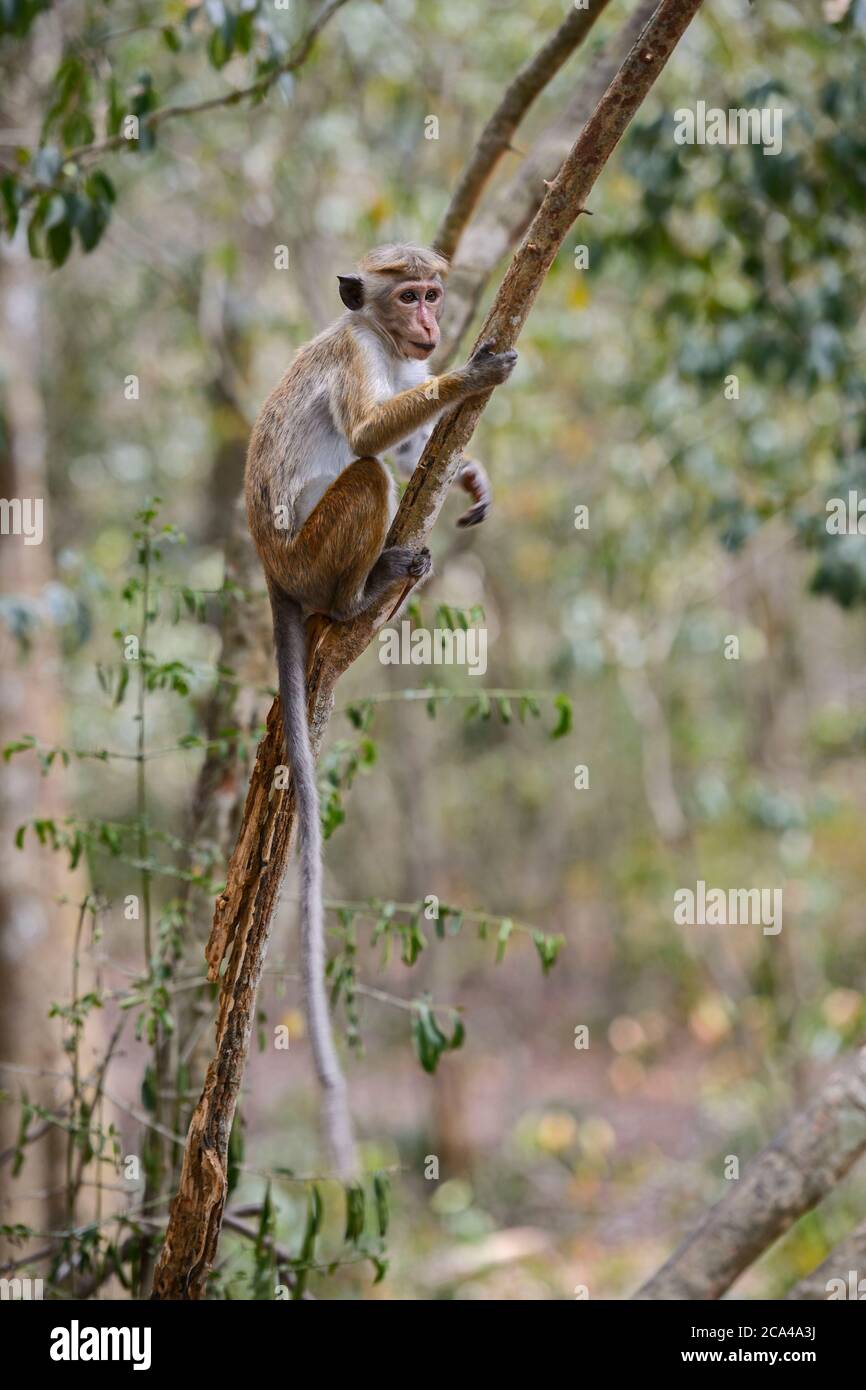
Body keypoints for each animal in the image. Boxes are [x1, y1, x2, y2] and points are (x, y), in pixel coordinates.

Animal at [240, 241, 517, 1173]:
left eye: (434, 293)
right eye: (410, 296)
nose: (432, 322)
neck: (383, 339)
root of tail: (272, 571)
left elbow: (404, 453)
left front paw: (466, 467)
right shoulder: (362, 357)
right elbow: (366, 439)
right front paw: (472, 374)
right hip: (310, 554)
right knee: (360, 477)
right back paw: (358, 597)